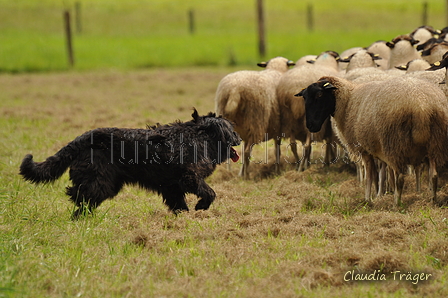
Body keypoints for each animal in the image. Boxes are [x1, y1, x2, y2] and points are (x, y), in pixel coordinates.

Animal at [20, 110, 242, 219]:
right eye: (232, 129)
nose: (240, 138)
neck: (198, 136)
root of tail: (83, 138)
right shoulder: (190, 177)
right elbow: (209, 192)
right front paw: (201, 206)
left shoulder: (172, 186)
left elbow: (179, 204)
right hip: (100, 181)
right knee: (81, 195)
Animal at [296, 74, 448, 206]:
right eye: (304, 98)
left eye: (319, 95)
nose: (310, 126)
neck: (348, 102)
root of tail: (422, 107)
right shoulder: (375, 150)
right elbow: (377, 175)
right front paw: (377, 195)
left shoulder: (364, 149)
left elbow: (370, 176)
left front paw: (368, 199)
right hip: (434, 143)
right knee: (433, 175)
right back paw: (433, 200)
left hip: (395, 144)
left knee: (400, 177)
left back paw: (396, 203)